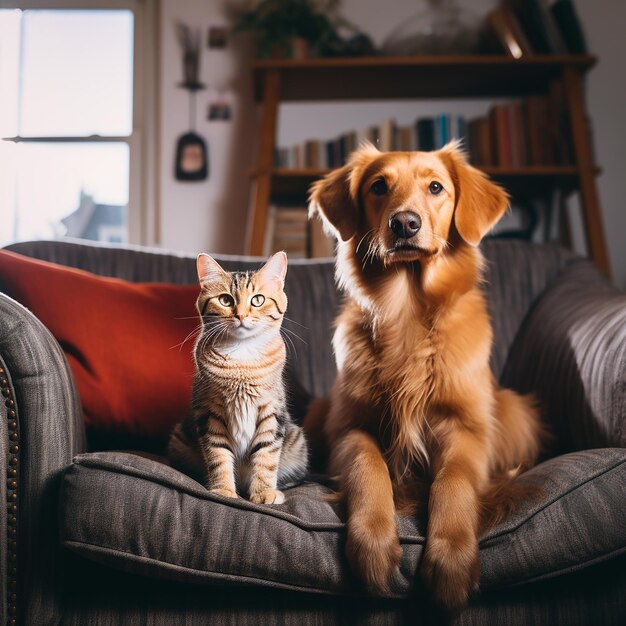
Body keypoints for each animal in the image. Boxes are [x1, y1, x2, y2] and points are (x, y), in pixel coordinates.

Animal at [168, 250, 308, 502]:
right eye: (225, 300)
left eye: (258, 300)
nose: (241, 315)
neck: (242, 359)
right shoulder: (209, 413)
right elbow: (218, 456)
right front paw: (223, 491)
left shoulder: (272, 412)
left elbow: (266, 457)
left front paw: (264, 493)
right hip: (180, 438)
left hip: (297, 442)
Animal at [308, 143, 544, 608]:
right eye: (379, 187)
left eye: (436, 187)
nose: (405, 223)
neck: (408, 313)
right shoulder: (348, 427)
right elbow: (368, 465)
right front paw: (374, 542)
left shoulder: (466, 427)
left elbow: (453, 480)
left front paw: (451, 558)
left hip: (514, 408)